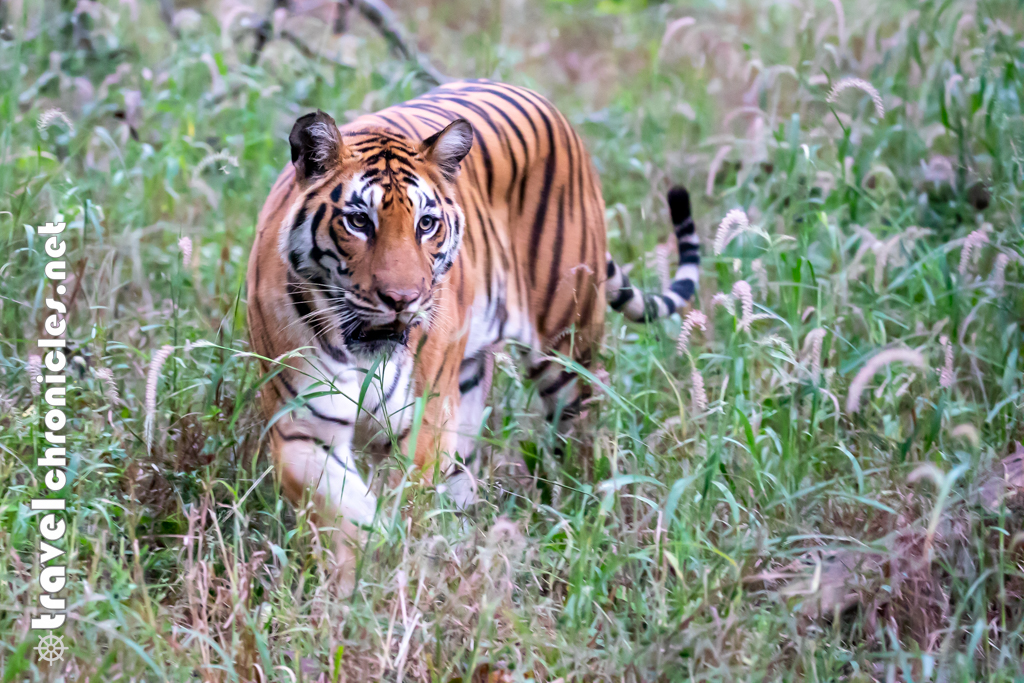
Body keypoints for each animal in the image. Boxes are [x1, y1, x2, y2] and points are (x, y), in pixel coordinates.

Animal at [244, 78, 700, 581]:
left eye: (426, 224)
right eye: (359, 221)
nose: (402, 299)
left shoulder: (424, 423)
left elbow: (404, 502)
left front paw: (392, 567)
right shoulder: (302, 429)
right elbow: (347, 512)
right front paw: (362, 575)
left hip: (566, 347)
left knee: (582, 430)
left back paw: (585, 512)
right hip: (469, 383)